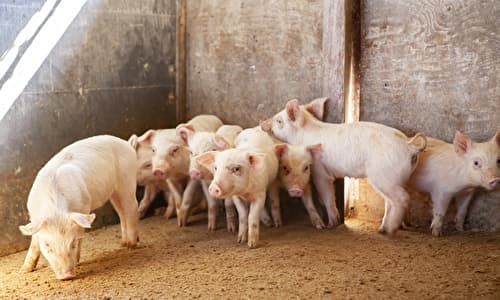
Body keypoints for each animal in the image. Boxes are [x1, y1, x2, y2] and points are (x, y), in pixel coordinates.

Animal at [19, 135, 139, 280]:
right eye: (48, 246)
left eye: (72, 243)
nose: (67, 276)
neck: (56, 210)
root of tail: (127, 143)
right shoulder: (34, 217)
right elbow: (34, 242)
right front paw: (23, 270)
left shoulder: (84, 207)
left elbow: (80, 233)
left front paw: (77, 261)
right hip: (114, 192)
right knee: (121, 212)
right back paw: (124, 243)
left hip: (127, 179)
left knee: (132, 207)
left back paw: (131, 245)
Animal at [260, 98, 428, 234]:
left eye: (279, 120)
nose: (262, 123)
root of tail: (409, 146)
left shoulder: (320, 171)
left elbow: (327, 195)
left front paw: (330, 225)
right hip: (393, 178)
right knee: (392, 201)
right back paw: (385, 229)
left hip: (383, 175)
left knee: (402, 198)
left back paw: (389, 231)